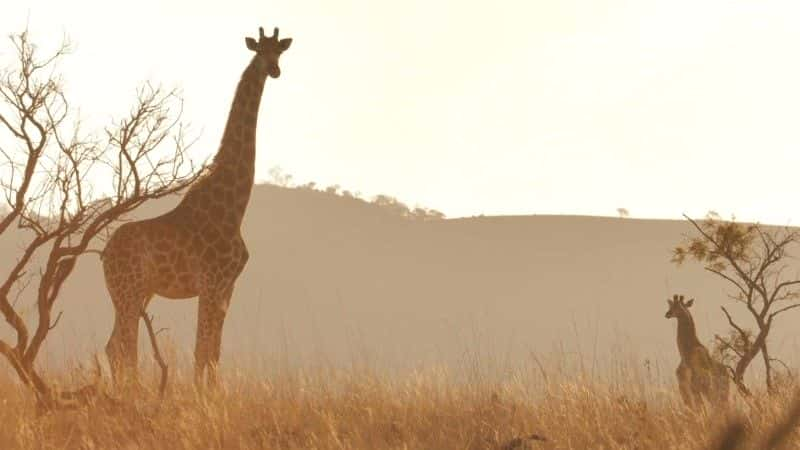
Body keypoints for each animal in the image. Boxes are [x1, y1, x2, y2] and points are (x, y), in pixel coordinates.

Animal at [101, 26, 292, 388]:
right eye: (260, 50)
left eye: (280, 51)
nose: (274, 70)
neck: (234, 208)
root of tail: (104, 255)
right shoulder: (210, 282)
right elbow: (201, 349)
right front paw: (200, 395)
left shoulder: (228, 287)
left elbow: (213, 350)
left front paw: (212, 394)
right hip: (129, 290)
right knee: (125, 346)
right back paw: (132, 393)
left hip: (134, 292)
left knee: (113, 345)